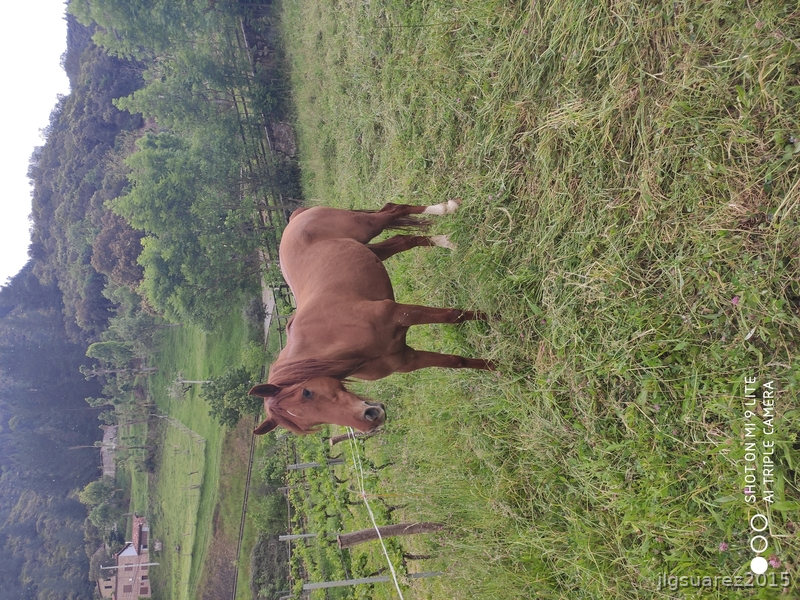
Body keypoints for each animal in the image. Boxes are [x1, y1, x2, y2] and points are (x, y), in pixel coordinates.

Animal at [249, 200, 494, 435]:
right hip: (372, 250)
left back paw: (448, 208)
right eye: (312, 424)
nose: (372, 420)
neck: (336, 336)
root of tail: (295, 219)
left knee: (393, 209)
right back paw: (447, 241)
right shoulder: (407, 359)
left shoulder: (401, 314)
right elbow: (457, 361)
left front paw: (495, 317)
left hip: (368, 227)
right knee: (403, 240)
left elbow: (454, 317)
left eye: (306, 393)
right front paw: (498, 367)